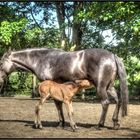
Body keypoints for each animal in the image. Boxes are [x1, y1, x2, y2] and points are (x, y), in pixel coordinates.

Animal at [0, 47, 129, 130]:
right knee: (118, 101)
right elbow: (60, 105)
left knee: (105, 103)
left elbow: (58, 105)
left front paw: (60, 123)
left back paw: (99, 125)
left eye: (1, 63)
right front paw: (63, 123)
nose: (0, 81)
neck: (42, 59)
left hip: (101, 87)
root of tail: (112, 56)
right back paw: (115, 124)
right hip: (109, 87)